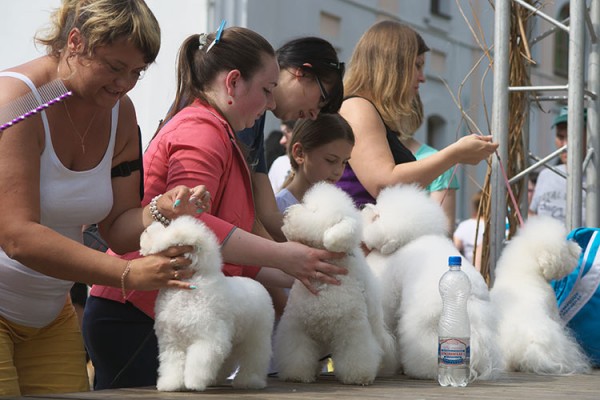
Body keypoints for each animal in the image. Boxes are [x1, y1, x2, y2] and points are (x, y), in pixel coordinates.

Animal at [141, 216, 274, 390]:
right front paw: (171, 384)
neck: (187, 287)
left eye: (167, 229)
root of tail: (258, 286)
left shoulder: (207, 339)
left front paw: (193, 382)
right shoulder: (172, 342)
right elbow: (172, 364)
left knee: (254, 358)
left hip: (256, 337)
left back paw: (249, 381)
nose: (146, 229)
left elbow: (198, 362)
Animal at [274, 184, 396, 384]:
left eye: (314, 211)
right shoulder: (297, 326)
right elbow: (296, 353)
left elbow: (356, 354)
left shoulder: (351, 329)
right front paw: (296, 374)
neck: (324, 285)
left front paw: (358, 376)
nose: (287, 213)